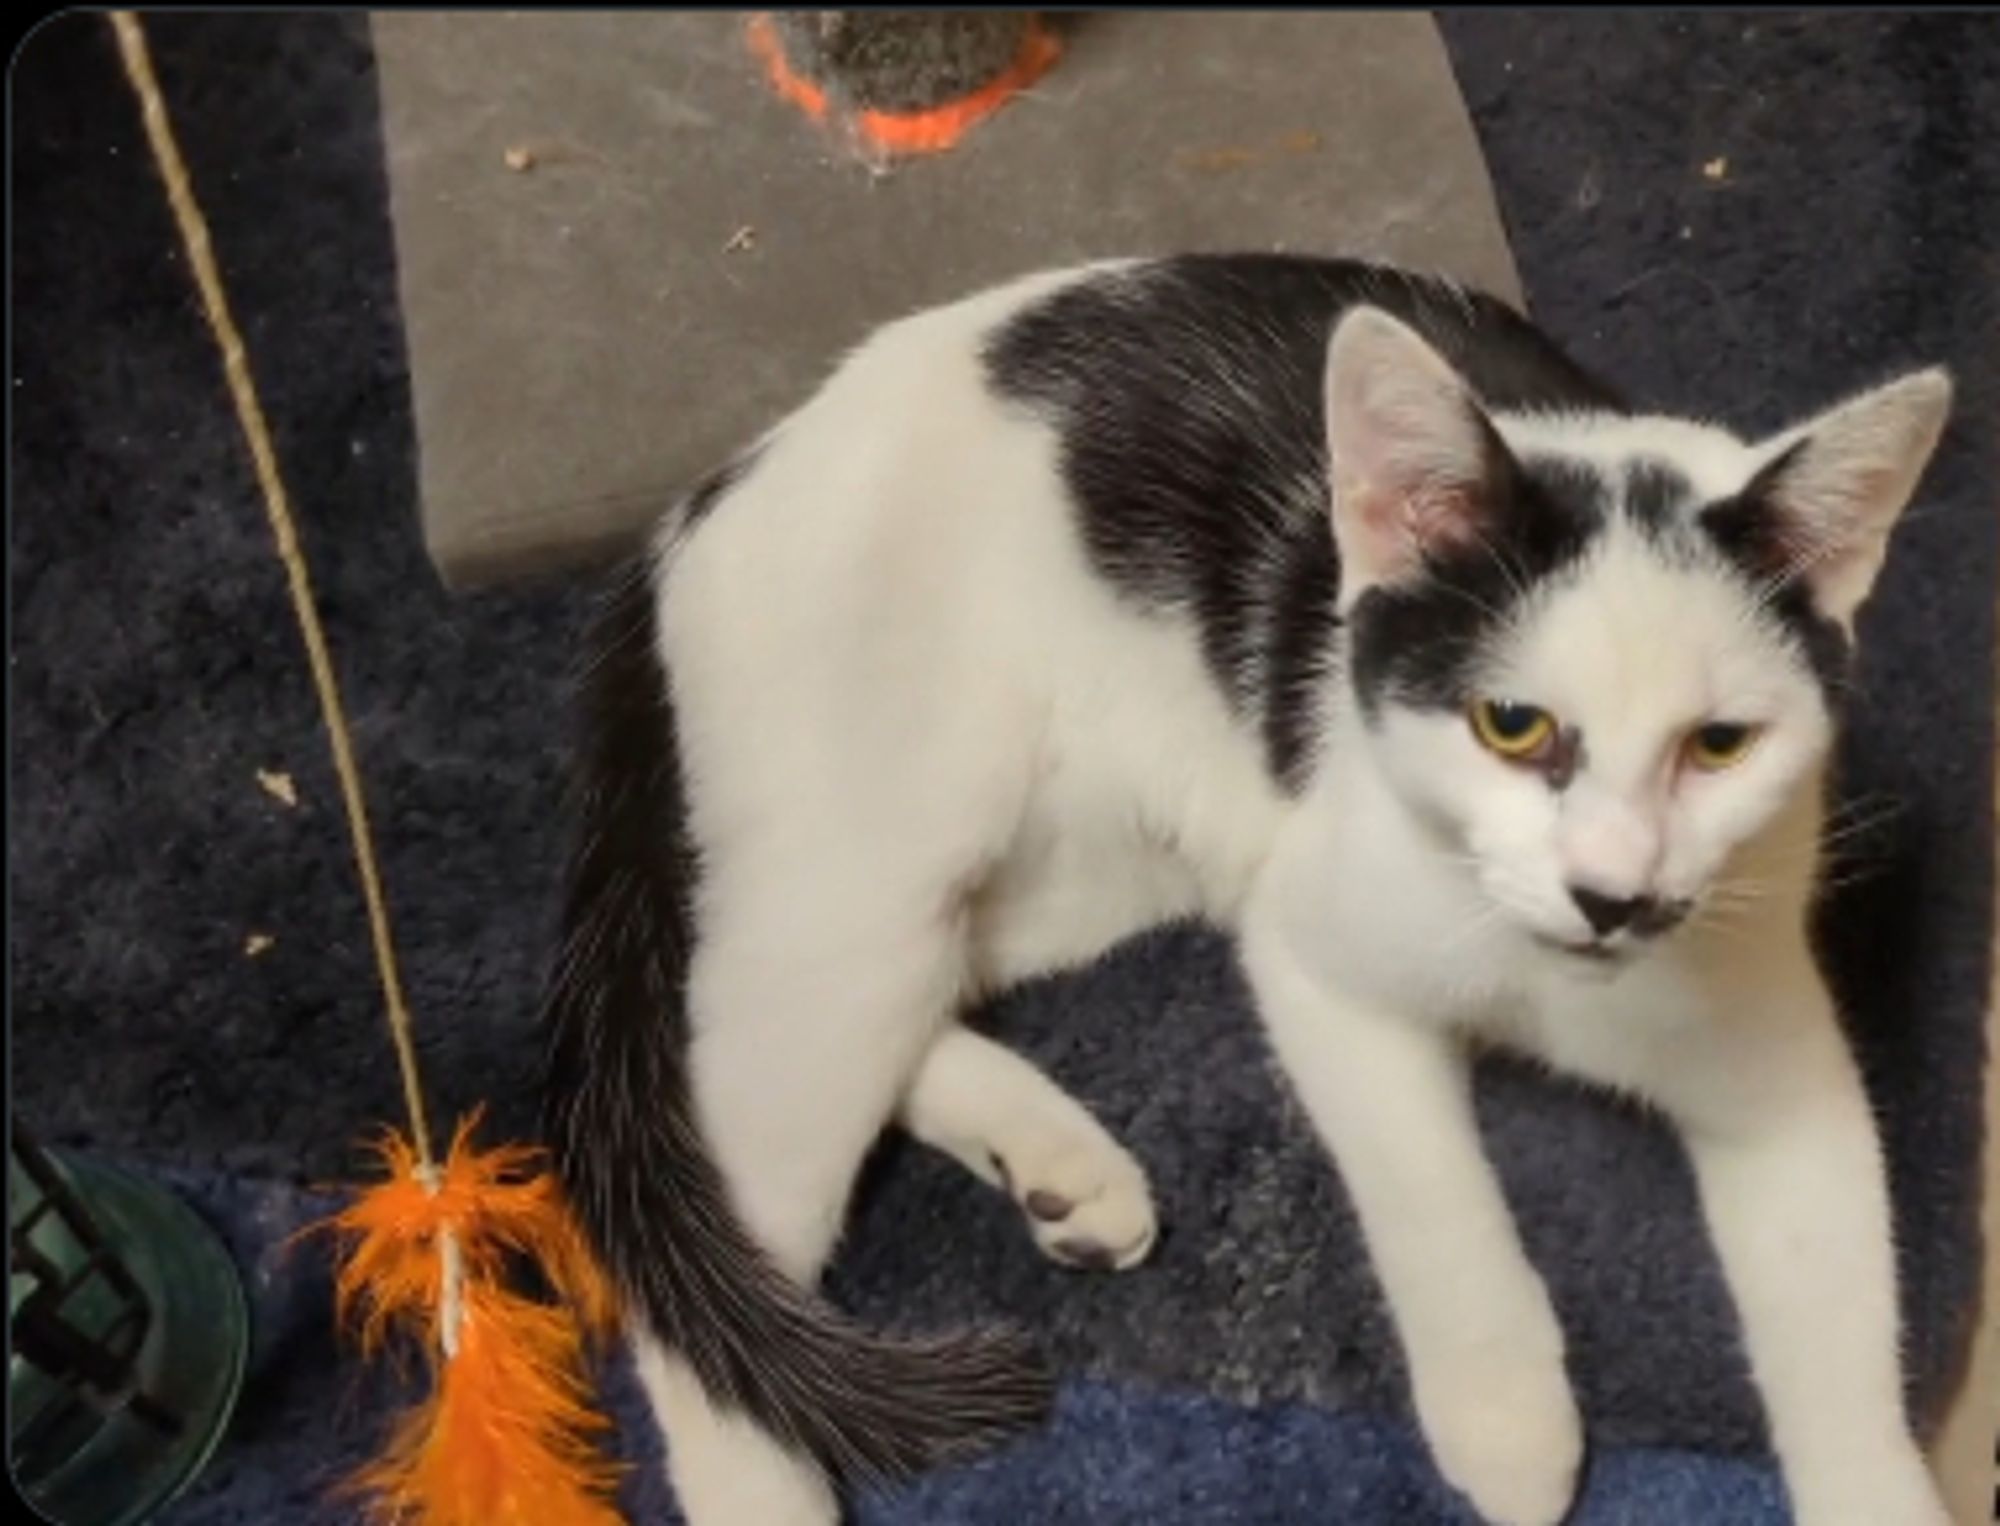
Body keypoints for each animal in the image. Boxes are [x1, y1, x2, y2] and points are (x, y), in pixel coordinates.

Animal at [544, 254, 1952, 1526]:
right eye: (1510, 724)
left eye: (1718, 745)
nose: (1608, 893)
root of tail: (701, 506)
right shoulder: (1315, 954)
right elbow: (1433, 1193)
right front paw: (1505, 1411)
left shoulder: (1770, 1037)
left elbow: (1838, 1301)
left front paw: (1875, 1487)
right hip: (867, 870)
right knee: (714, 1202)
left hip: (1083, 864)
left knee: (878, 1012)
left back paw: (1054, 1163)